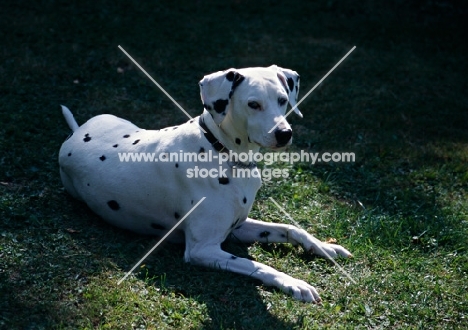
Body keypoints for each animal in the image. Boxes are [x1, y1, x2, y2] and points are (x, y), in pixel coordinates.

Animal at [59, 65, 352, 302]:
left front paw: (324, 246)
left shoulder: (239, 227)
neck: (221, 150)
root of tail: (76, 132)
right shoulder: (203, 249)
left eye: (282, 100)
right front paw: (293, 283)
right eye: (253, 104)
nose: (284, 134)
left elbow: (291, 228)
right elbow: (257, 265)